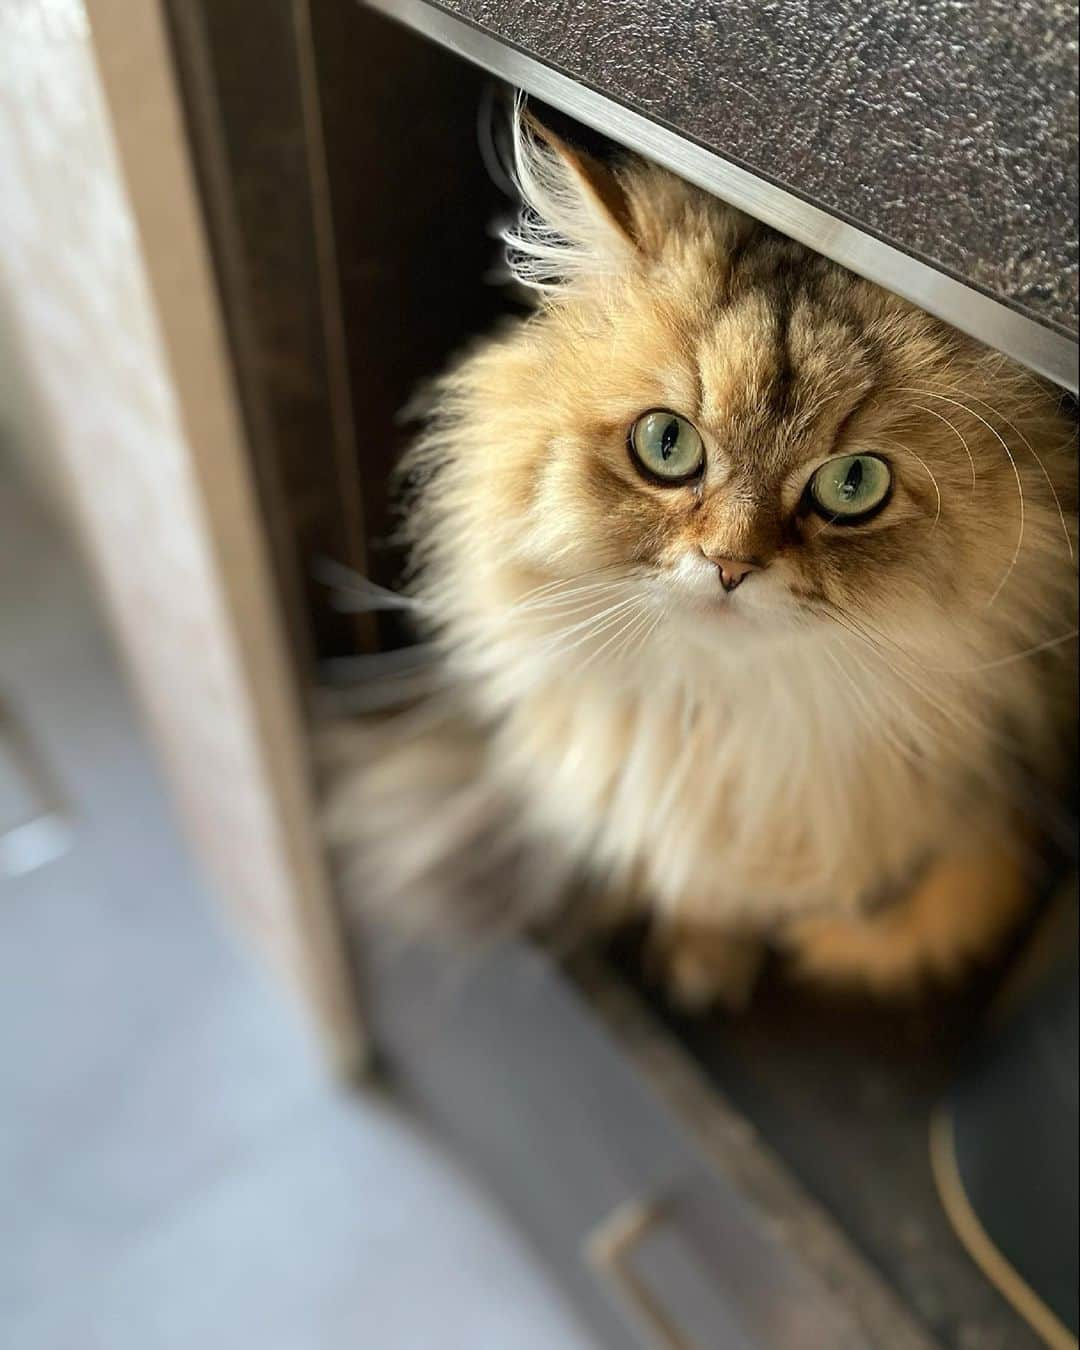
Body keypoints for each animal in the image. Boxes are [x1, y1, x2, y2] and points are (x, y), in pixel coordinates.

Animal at [322, 113, 1080, 1004]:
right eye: (666, 444)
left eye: (854, 484)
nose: (731, 565)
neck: (722, 725)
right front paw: (702, 959)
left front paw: (767, 950)